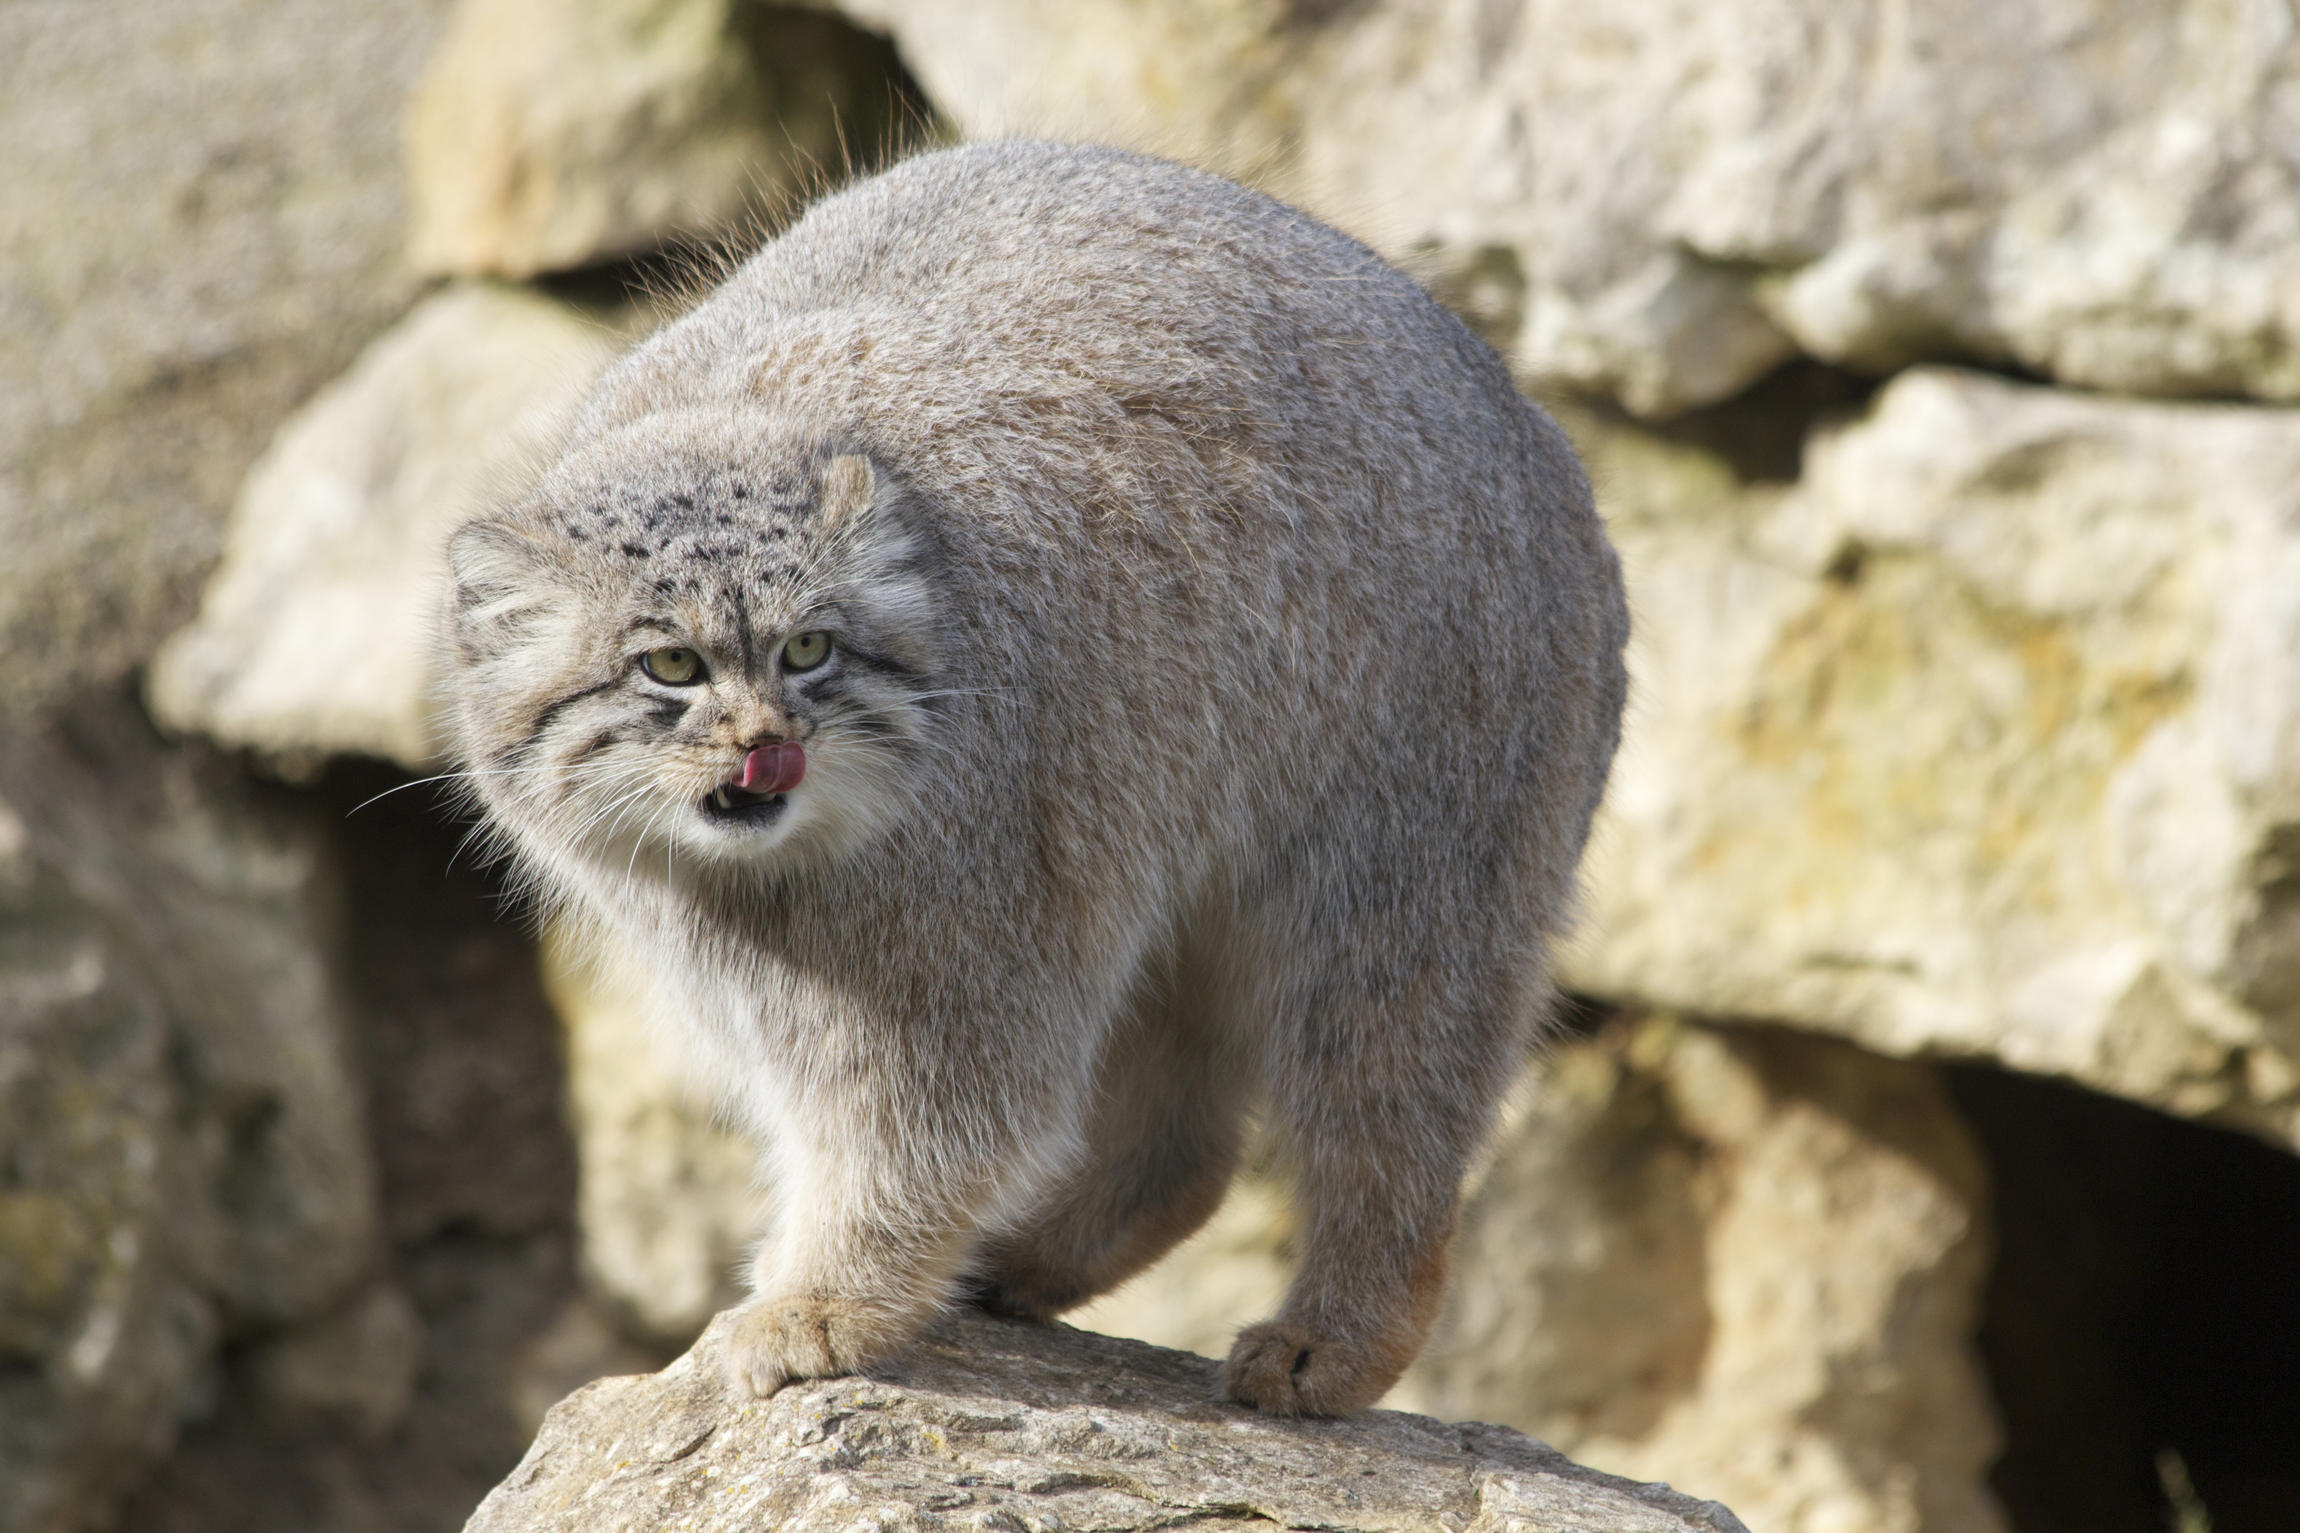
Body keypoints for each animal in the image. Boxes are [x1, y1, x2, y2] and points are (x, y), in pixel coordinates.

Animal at [443, 140, 1637, 1415]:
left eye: (809, 650)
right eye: (668, 665)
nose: (770, 741)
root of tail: (1546, 442)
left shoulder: (963, 946)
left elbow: (923, 1138)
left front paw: (823, 1303)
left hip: (1404, 880)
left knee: (1391, 1114)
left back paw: (1335, 1339)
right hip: (1152, 868)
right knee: (1185, 1148)